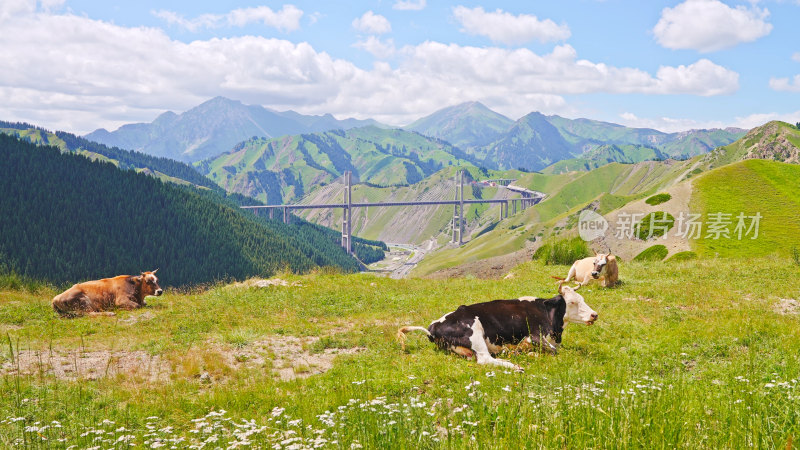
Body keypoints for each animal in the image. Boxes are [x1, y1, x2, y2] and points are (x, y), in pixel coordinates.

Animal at [396, 284, 596, 370]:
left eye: (582, 299)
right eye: (572, 302)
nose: (595, 315)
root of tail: (433, 326)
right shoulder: (535, 335)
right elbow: (554, 351)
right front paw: (528, 353)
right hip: (475, 331)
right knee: (485, 359)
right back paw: (515, 365)